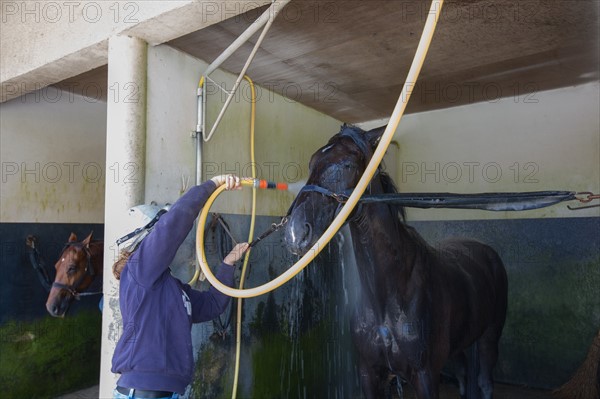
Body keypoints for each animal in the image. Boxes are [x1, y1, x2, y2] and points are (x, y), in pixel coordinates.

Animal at [284, 126, 506, 399]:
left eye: (347, 164)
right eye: (312, 162)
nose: (295, 233)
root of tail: (486, 251)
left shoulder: (426, 376)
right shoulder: (370, 374)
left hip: (490, 337)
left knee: (484, 381)